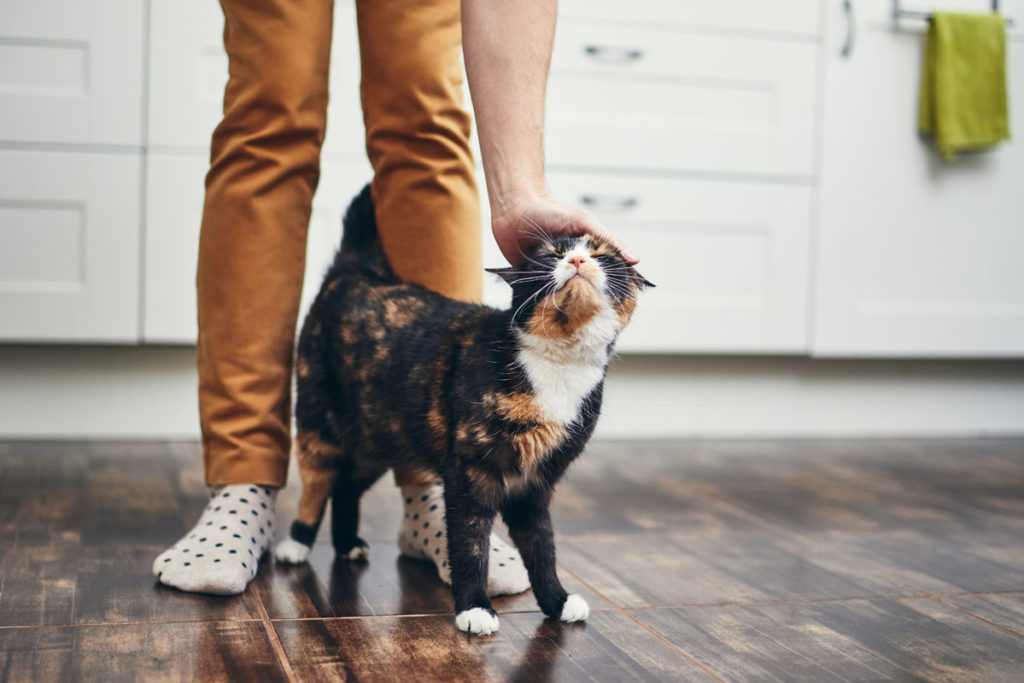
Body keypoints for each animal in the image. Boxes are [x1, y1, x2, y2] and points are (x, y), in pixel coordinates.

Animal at [276, 185, 647, 634]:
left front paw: (557, 601)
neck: (558, 364)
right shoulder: (471, 473)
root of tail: (355, 272)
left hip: (380, 437)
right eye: (552, 254)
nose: (576, 260)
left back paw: (347, 544)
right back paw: (296, 543)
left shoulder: (536, 484)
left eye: (601, 254)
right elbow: (470, 544)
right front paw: (474, 608)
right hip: (320, 422)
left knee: (347, 484)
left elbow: (543, 547)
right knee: (318, 483)